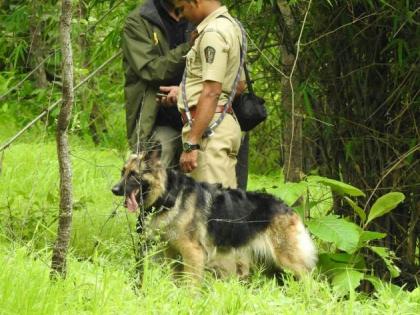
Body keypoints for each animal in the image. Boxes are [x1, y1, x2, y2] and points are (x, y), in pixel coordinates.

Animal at [111, 146, 316, 282]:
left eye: (133, 174)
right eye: (122, 172)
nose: (114, 189)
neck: (169, 195)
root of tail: (288, 207)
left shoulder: (193, 254)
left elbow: (191, 285)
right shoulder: (172, 254)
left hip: (289, 262)